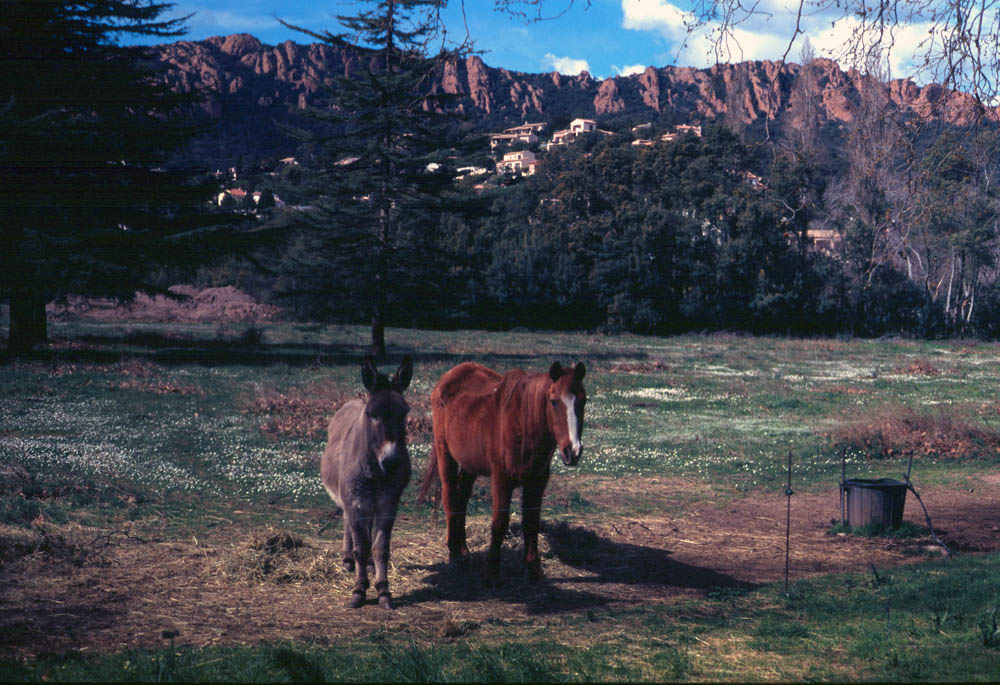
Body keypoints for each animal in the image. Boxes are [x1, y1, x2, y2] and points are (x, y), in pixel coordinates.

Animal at [320, 355, 412, 609]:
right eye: (372, 414)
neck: (376, 474)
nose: (391, 462)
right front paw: (359, 590)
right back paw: (347, 559)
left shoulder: (388, 504)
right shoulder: (355, 503)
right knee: (348, 525)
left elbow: (381, 548)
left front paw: (384, 591)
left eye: (404, 413)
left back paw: (370, 565)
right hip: (351, 500)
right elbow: (360, 548)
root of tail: (354, 400)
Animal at [418, 360, 586, 578]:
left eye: (583, 401)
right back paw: (454, 553)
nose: (572, 451)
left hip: (469, 463)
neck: (522, 423)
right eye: (554, 401)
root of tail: (449, 377)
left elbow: (531, 522)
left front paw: (534, 569)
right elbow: (499, 523)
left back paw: (463, 550)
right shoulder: (501, 479)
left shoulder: (537, 482)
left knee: (462, 498)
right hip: (445, 453)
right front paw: (491, 571)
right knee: (450, 497)